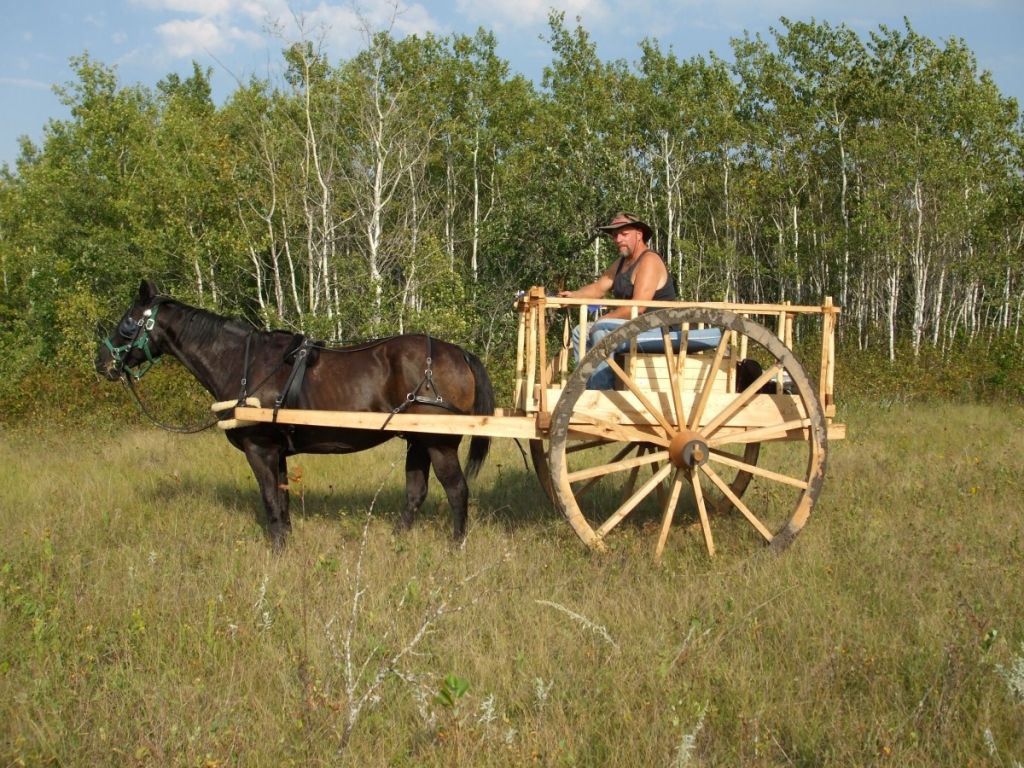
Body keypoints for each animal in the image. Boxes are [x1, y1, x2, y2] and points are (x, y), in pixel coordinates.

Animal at [95, 279, 495, 548]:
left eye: (127, 322)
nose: (102, 363)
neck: (243, 363)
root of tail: (458, 352)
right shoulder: (277, 450)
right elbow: (282, 496)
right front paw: (285, 538)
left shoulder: (259, 447)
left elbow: (270, 498)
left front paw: (276, 548)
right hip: (417, 439)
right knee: (416, 492)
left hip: (438, 441)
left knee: (457, 490)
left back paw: (457, 544)